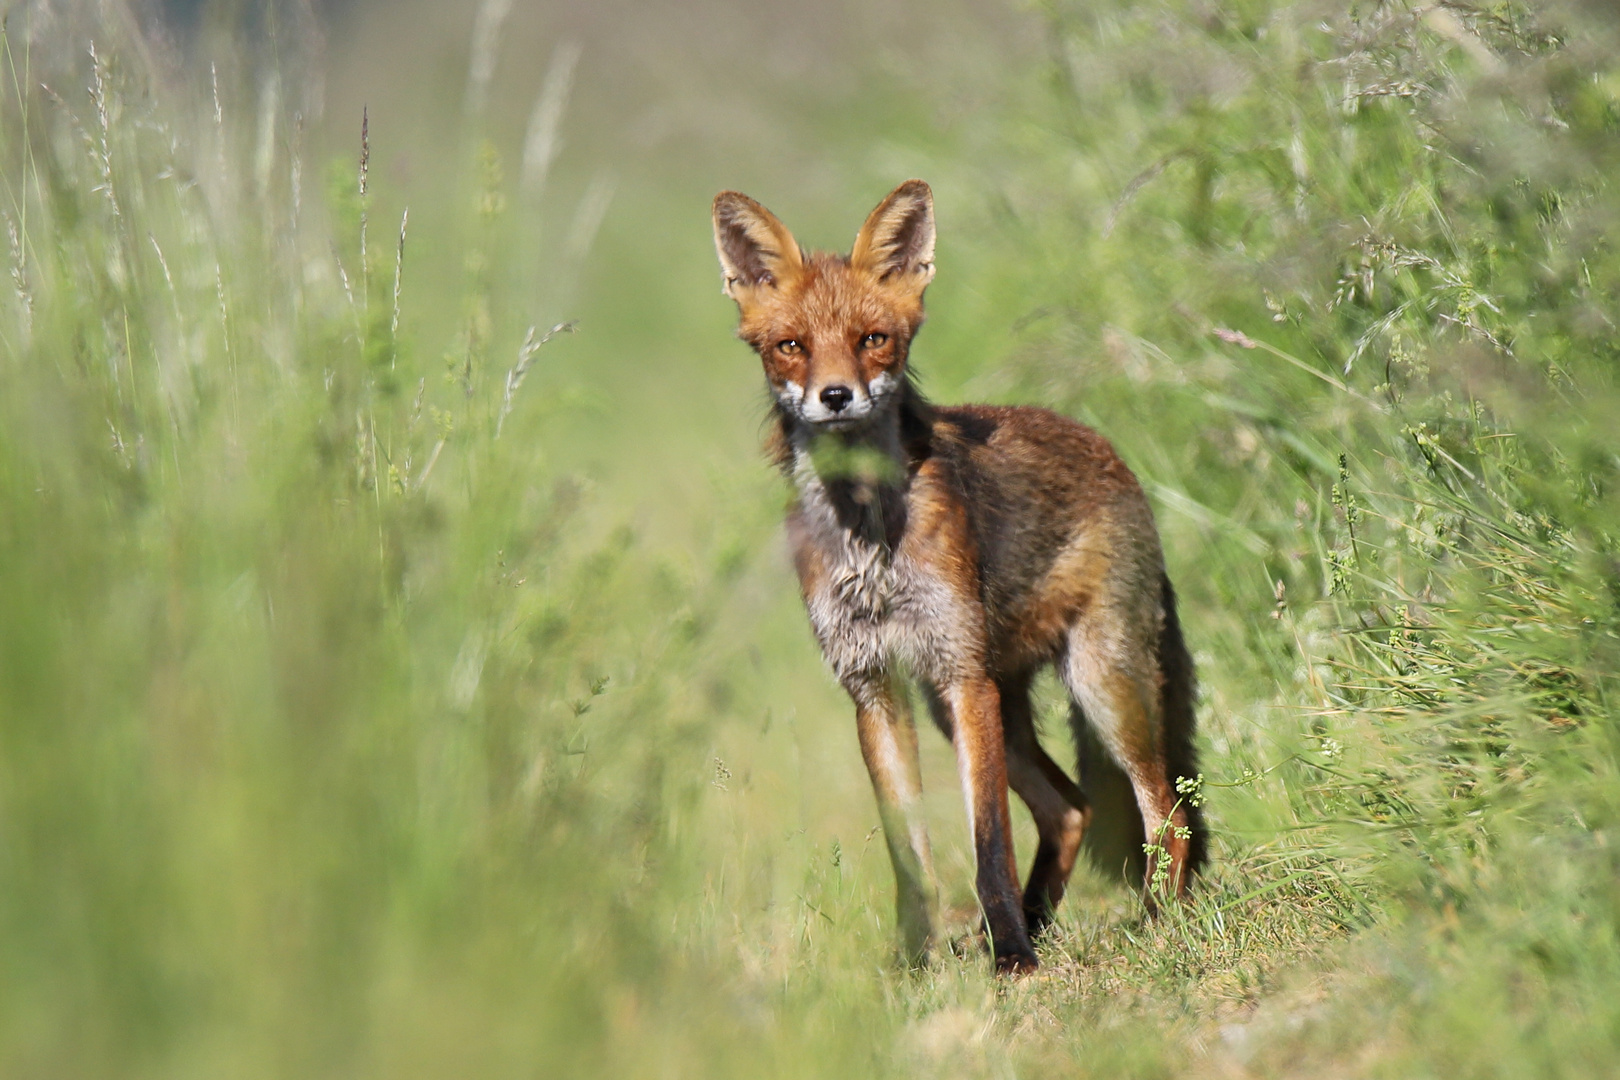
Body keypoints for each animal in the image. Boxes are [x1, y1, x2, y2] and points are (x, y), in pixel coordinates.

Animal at [709, 181, 1205, 977]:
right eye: (792, 347)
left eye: (873, 338)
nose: (837, 396)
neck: (868, 539)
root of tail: (1107, 449)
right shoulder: (874, 687)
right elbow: (911, 857)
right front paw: (918, 960)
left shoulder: (961, 676)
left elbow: (987, 846)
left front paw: (1014, 960)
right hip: (984, 705)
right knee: (1071, 807)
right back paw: (1038, 920)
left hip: (1098, 683)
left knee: (1167, 809)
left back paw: (1160, 921)